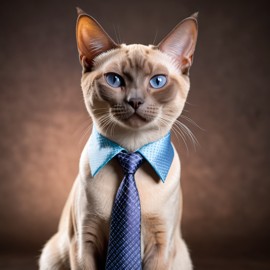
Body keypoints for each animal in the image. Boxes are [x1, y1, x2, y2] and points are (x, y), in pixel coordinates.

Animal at [38, 6, 198, 270]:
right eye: (114, 80)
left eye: (158, 81)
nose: (135, 101)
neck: (131, 154)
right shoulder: (84, 242)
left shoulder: (161, 244)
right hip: (52, 254)